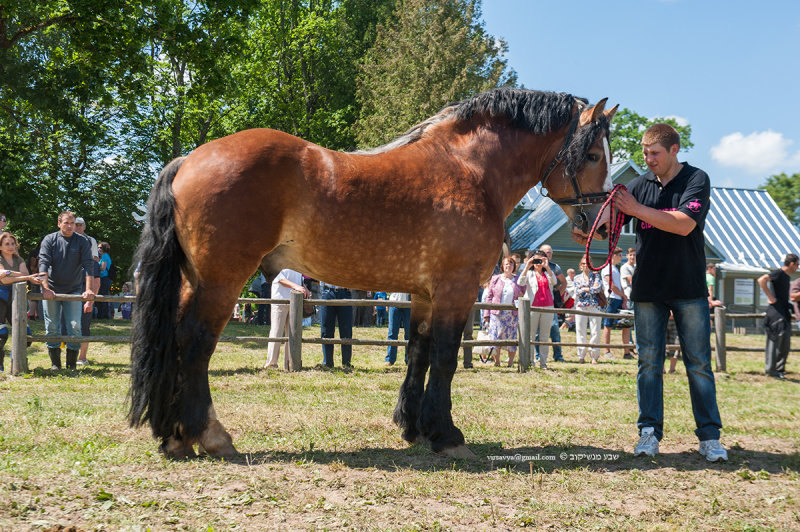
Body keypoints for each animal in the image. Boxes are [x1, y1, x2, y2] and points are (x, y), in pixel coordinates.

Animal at [130, 89, 620, 460]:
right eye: (594, 153)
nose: (600, 225)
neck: (470, 170)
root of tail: (190, 160)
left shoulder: (424, 294)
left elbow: (418, 352)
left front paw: (413, 427)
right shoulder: (457, 290)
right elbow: (445, 357)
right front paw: (447, 435)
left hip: (194, 281)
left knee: (175, 341)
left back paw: (173, 436)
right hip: (222, 282)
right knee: (194, 343)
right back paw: (209, 435)